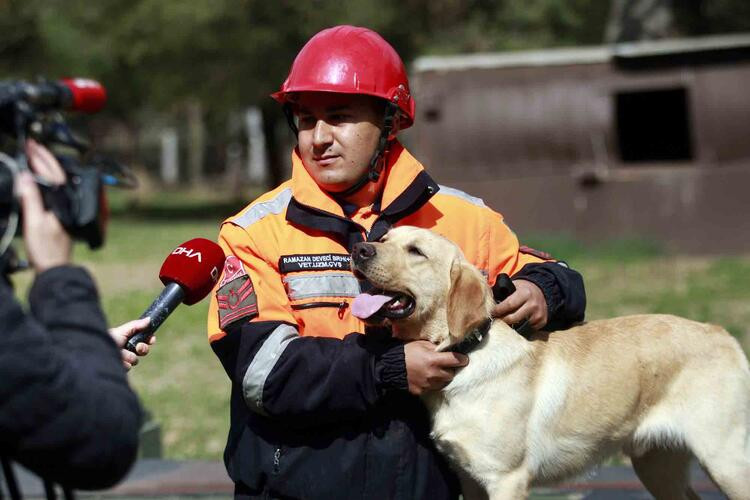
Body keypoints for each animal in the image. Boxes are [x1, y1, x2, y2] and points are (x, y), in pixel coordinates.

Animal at [352, 228, 750, 500]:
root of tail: (721, 332)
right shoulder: (471, 479)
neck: (468, 352)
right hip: (657, 464)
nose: (360, 249)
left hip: (725, 459)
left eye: (416, 251)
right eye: (384, 237)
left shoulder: (506, 479)